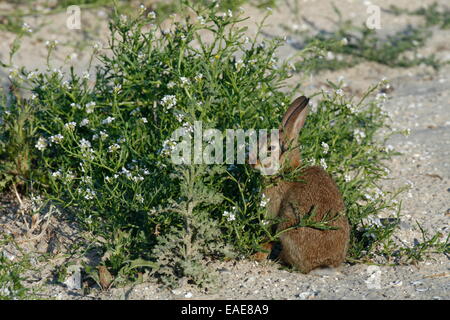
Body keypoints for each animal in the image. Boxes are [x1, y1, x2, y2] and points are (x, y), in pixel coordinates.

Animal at [251, 96, 350, 274]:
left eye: (269, 148)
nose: (252, 163)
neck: (287, 170)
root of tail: (321, 265)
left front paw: (259, 253)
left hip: (288, 227)